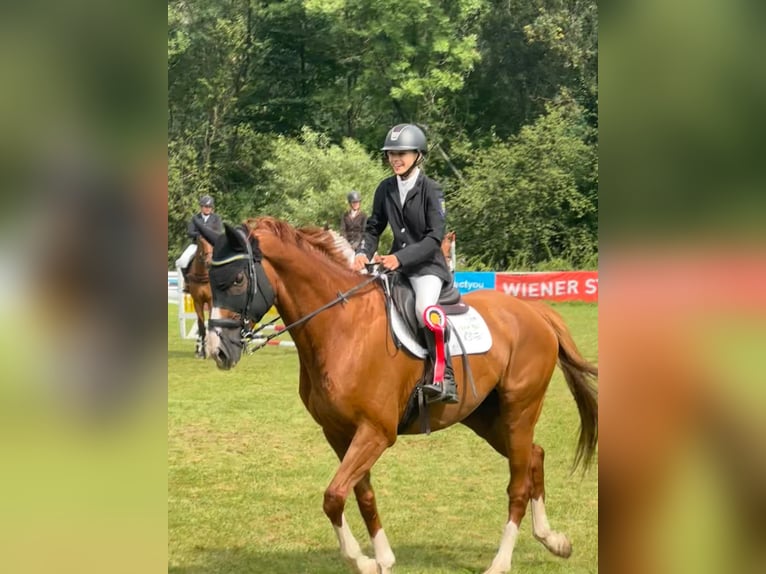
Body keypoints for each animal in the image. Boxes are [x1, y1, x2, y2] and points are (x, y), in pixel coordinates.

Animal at [197, 217, 598, 574]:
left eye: (237, 280)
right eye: (211, 283)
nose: (218, 351)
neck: (342, 327)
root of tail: (533, 311)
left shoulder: (376, 432)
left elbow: (334, 496)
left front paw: (363, 561)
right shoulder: (339, 433)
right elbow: (361, 495)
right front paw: (383, 560)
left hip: (519, 410)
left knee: (518, 484)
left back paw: (500, 563)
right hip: (484, 417)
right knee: (534, 456)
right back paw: (553, 540)